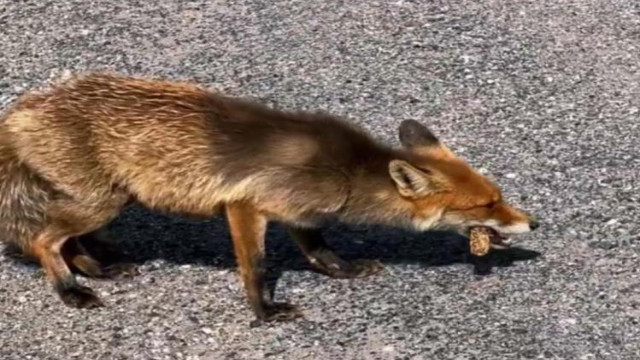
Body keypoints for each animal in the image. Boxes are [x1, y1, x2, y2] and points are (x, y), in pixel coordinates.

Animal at [0, 74, 536, 324]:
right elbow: (255, 267)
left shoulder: (301, 210)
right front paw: (265, 312)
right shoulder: (247, 207)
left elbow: (319, 249)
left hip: (107, 200)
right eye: (485, 207)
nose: (532, 223)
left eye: (499, 197)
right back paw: (70, 290)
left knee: (68, 240)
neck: (345, 170)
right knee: (44, 240)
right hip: (100, 202)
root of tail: (22, 111)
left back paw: (98, 269)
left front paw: (342, 271)